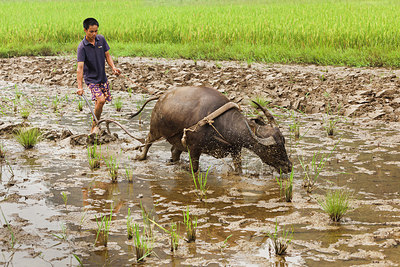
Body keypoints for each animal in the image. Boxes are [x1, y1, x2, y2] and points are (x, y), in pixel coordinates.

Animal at [137, 86, 290, 174]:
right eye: (273, 149)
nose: (289, 167)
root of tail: (161, 97)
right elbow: (194, 169)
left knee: (174, 151)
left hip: (178, 139)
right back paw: (141, 157)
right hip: (155, 130)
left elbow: (239, 169)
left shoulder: (236, 150)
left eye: (283, 144)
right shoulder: (194, 148)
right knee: (148, 141)